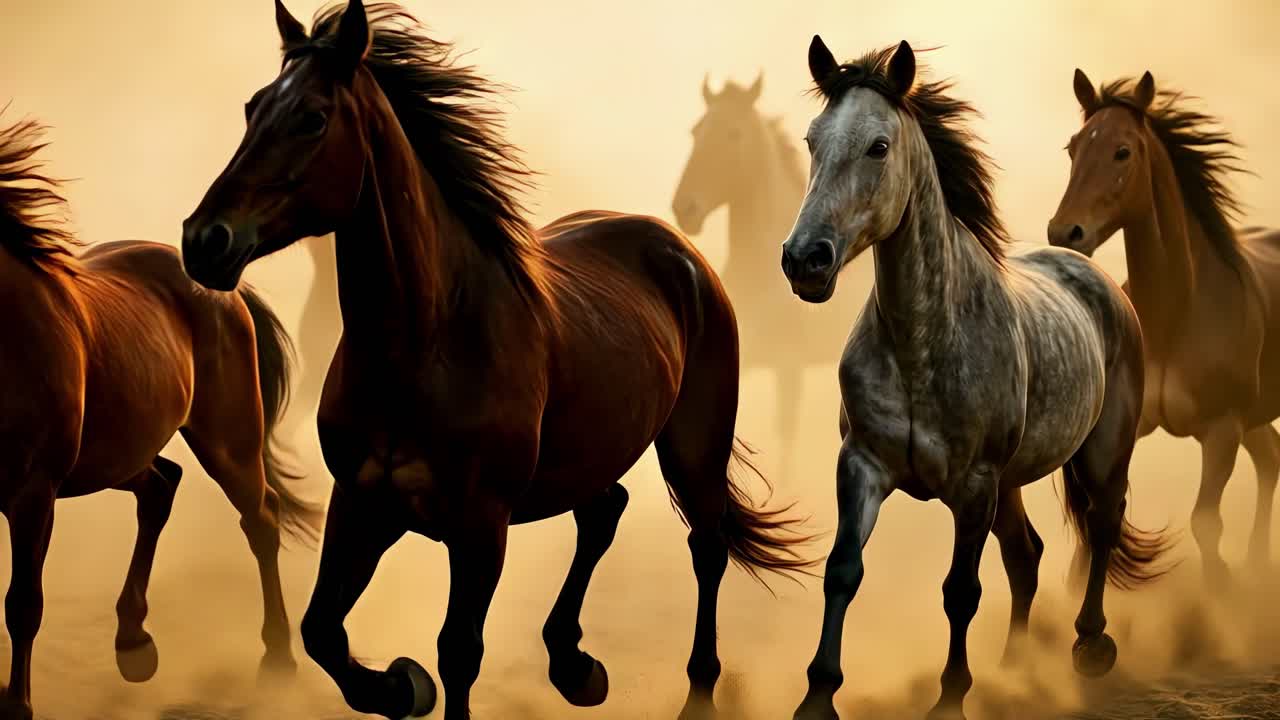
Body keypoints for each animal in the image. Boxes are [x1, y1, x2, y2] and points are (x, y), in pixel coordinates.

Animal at [0, 115, 318, 720]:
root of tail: (222, 285)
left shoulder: (33, 494)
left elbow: (22, 604)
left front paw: (17, 706)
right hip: (112, 459)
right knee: (162, 486)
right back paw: (133, 641)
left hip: (226, 441)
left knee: (259, 518)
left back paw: (277, 660)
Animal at [180, 2, 815, 719]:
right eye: (253, 107)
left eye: (312, 117)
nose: (204, 240)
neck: (426, 345)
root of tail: (680, 250)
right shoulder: (361, 504)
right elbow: (323, 633)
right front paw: (400, 685)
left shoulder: (480, 527)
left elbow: (458, 653)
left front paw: (416, 681)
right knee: (604, 512)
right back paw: (574, 665)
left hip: (693, 447)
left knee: (706, 546)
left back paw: (699, 686)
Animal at [780, 39, 1171, 719]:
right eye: (811, 140)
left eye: (879, 146)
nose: (805, 260)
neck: (923, 343)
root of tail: (1096, 278)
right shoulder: (862, 465)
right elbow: (843, 571)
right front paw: (818, 695)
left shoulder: (974, 486)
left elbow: (960, 590)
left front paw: (951, 696)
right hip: (1012, 483)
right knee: (1026, 555)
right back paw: (1015, 669)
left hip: (1100, 453)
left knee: (1102, 525)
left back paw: (1089, 644)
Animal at [1049, 69, 1280, 586]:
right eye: (1073, 147)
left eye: (1122, 151)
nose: (1064, 232)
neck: (1176, 315)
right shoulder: (1129, 428)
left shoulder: (1222, 430)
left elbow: (1205, 523)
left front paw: (1221, 590)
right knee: (1271, 458)